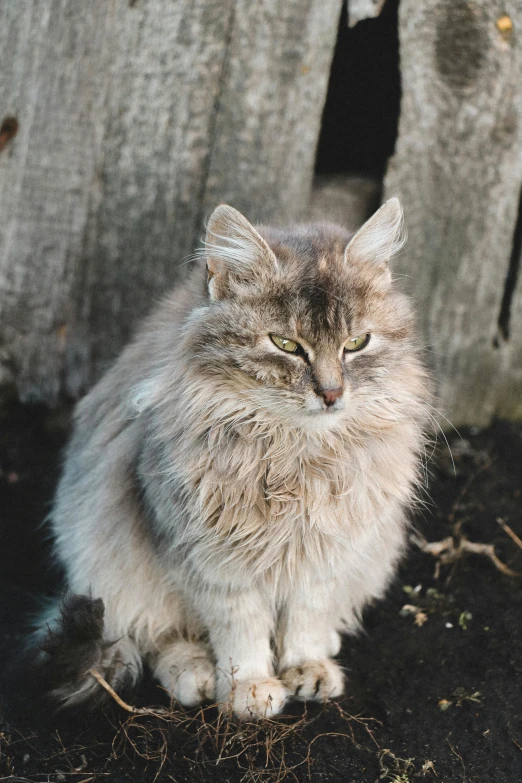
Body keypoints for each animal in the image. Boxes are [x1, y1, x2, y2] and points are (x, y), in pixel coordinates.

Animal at [33, 199, 430, 720]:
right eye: (286, 345)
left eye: (357, 343)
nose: (331, 394)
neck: (295, 456)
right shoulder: (213, 561)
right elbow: (240, 632)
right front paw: (251, 690)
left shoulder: (325, 554)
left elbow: (306, 617)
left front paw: (306, 668)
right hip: (108, 572)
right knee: (157, 638)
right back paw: (196, 677)